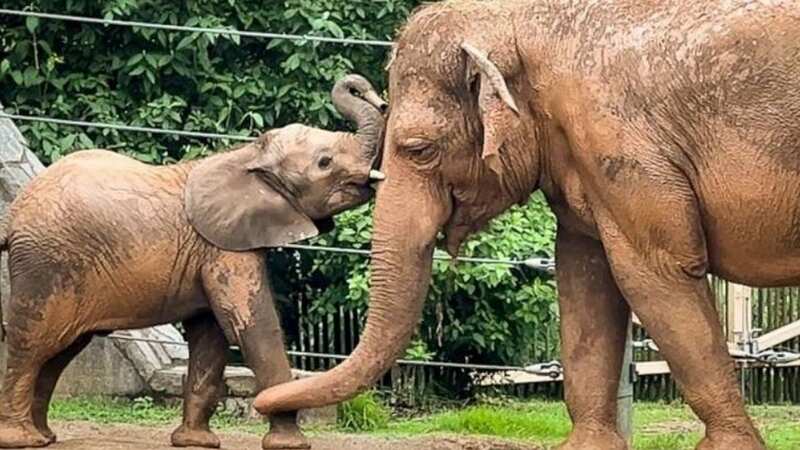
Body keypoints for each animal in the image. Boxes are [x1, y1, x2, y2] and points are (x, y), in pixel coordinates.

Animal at [0, 74, 387, 449]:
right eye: (325, 162)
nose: (378, 98)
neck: (246, 155)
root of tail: (15, 212)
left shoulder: (211, 250)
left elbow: (210, 337)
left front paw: (196, 442)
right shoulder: (223, 247)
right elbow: (252, 325)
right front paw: (289, 444)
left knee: (59, 352)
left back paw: (43, 437)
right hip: (46, 264)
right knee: (33, 344)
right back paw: (22, 439)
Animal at [253, 2, 800, 449]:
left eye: (419, 150)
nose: (271, 417)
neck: (517, 17)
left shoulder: (622, 145)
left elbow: (656, 271)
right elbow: (584, 277)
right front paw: (586, 446)